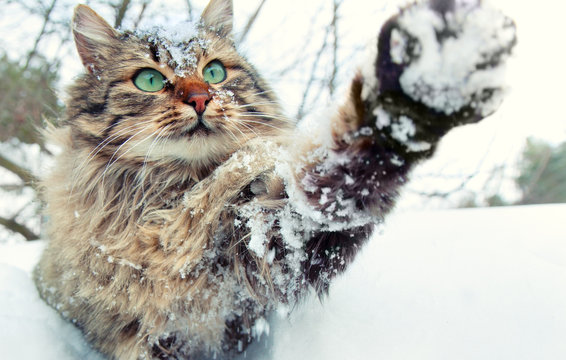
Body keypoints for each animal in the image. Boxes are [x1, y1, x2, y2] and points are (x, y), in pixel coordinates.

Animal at [33, 0, 516, 358]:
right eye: (149, 80)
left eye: (214, 72)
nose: (200, 98)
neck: (175, 197)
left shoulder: (271, 243)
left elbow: (340, 177)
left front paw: (419, 92)